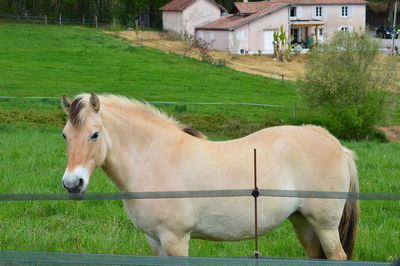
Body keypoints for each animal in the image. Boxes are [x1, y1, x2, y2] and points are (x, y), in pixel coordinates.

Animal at [60, 93, 360, 260]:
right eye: (65, 135)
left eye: (94, 134)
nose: (72, 184)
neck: (155, 159)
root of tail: (331, 140)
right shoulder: (154, 240)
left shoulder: (175, 240)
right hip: (303, 222)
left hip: (324, 225)